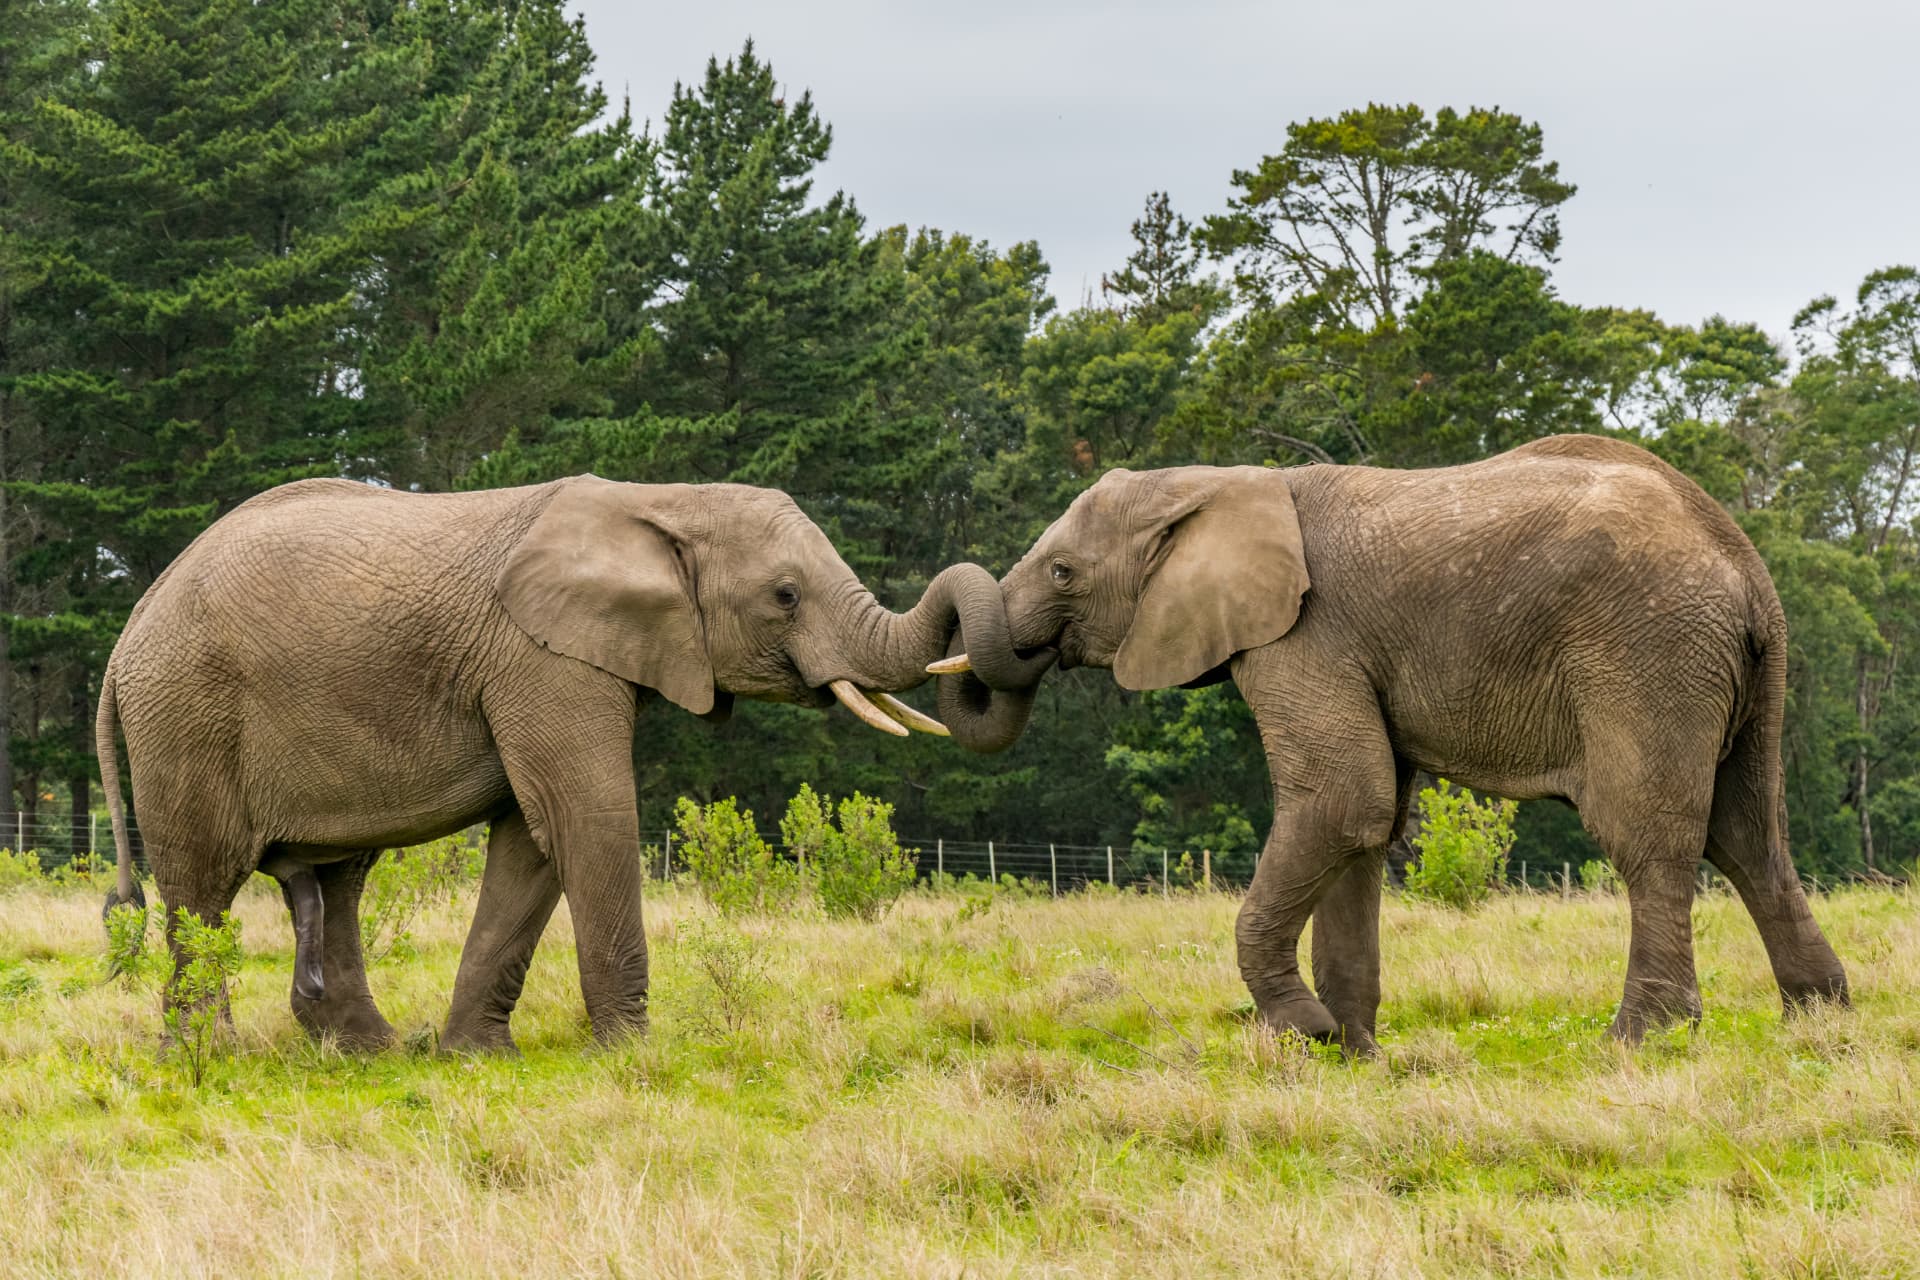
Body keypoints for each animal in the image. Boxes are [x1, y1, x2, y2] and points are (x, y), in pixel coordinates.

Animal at [97, 474, 1046, 1052]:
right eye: (785, 596)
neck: (662, 501)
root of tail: (133, 623)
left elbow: (530, 841)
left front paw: (474, 1057)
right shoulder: (542, 658)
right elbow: (586, 816)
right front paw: (633, 1054)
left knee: (338, 880)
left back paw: (375, 1052)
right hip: (185, 716)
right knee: (204, 883)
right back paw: (209, 1056)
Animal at [935, 434, 1850, 1052]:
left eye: (1063, 573)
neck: (1220, 482)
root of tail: (1744, 564)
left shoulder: (1305, 636)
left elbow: (1343, 800)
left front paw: (1302, 1033)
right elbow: (1365, 826)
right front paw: (1352, 1052)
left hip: (1648, 651)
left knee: (1650, 837)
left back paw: (1639, 1040)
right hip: (1741, 674)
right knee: (1750, 836)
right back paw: (1819, 1023)